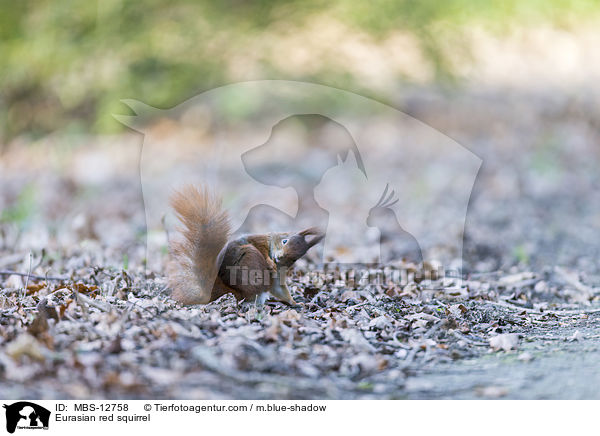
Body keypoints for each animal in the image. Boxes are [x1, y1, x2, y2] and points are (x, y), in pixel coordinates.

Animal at [166, 186, 326, 304]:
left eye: (294, 258)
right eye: (284, 241)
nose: (279, 258)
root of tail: (234, 292)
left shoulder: (280, 271)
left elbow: (279, 288)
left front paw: (295, 303)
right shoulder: (257, 240)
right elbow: (253, 244)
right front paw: (269, 261)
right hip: (250, 257)